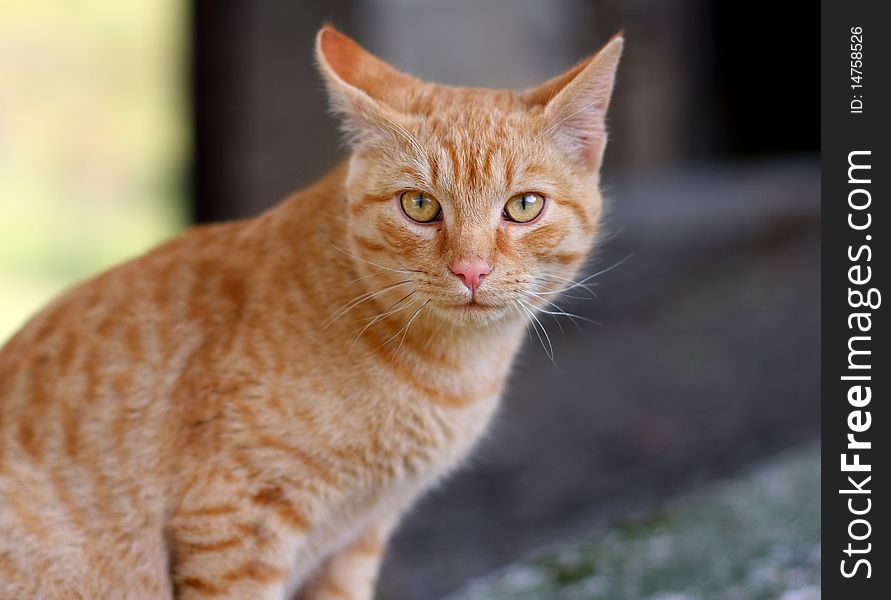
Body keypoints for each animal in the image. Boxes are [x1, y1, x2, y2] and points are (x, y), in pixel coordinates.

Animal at [0, 24, 624, 600]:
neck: (452, 371)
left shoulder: (358, 536)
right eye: (420, 205)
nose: (471, 270)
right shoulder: (233, 521)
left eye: (523, 206)